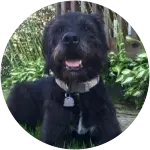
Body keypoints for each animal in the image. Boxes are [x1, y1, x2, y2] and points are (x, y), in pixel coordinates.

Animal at [6, 12, 122, 149]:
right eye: (59, 29)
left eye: (87, 27)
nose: (70, 39)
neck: (77, 91)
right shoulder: (53, 136)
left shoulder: (110, 132)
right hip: (19, 92)